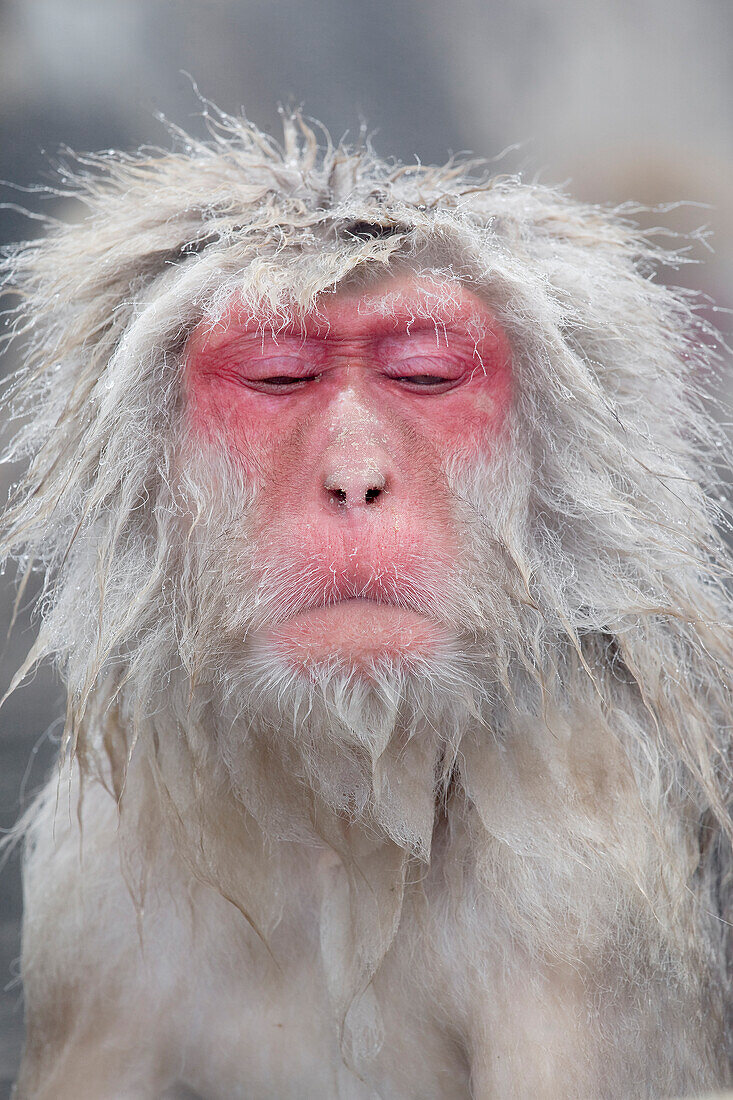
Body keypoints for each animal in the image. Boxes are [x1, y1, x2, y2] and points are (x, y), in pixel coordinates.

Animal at [1, 109, 730, 1100]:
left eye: (425, 374)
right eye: (278, 375)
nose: (355, 481)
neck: (351, 813)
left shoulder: (586, 865)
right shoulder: (91, 898)